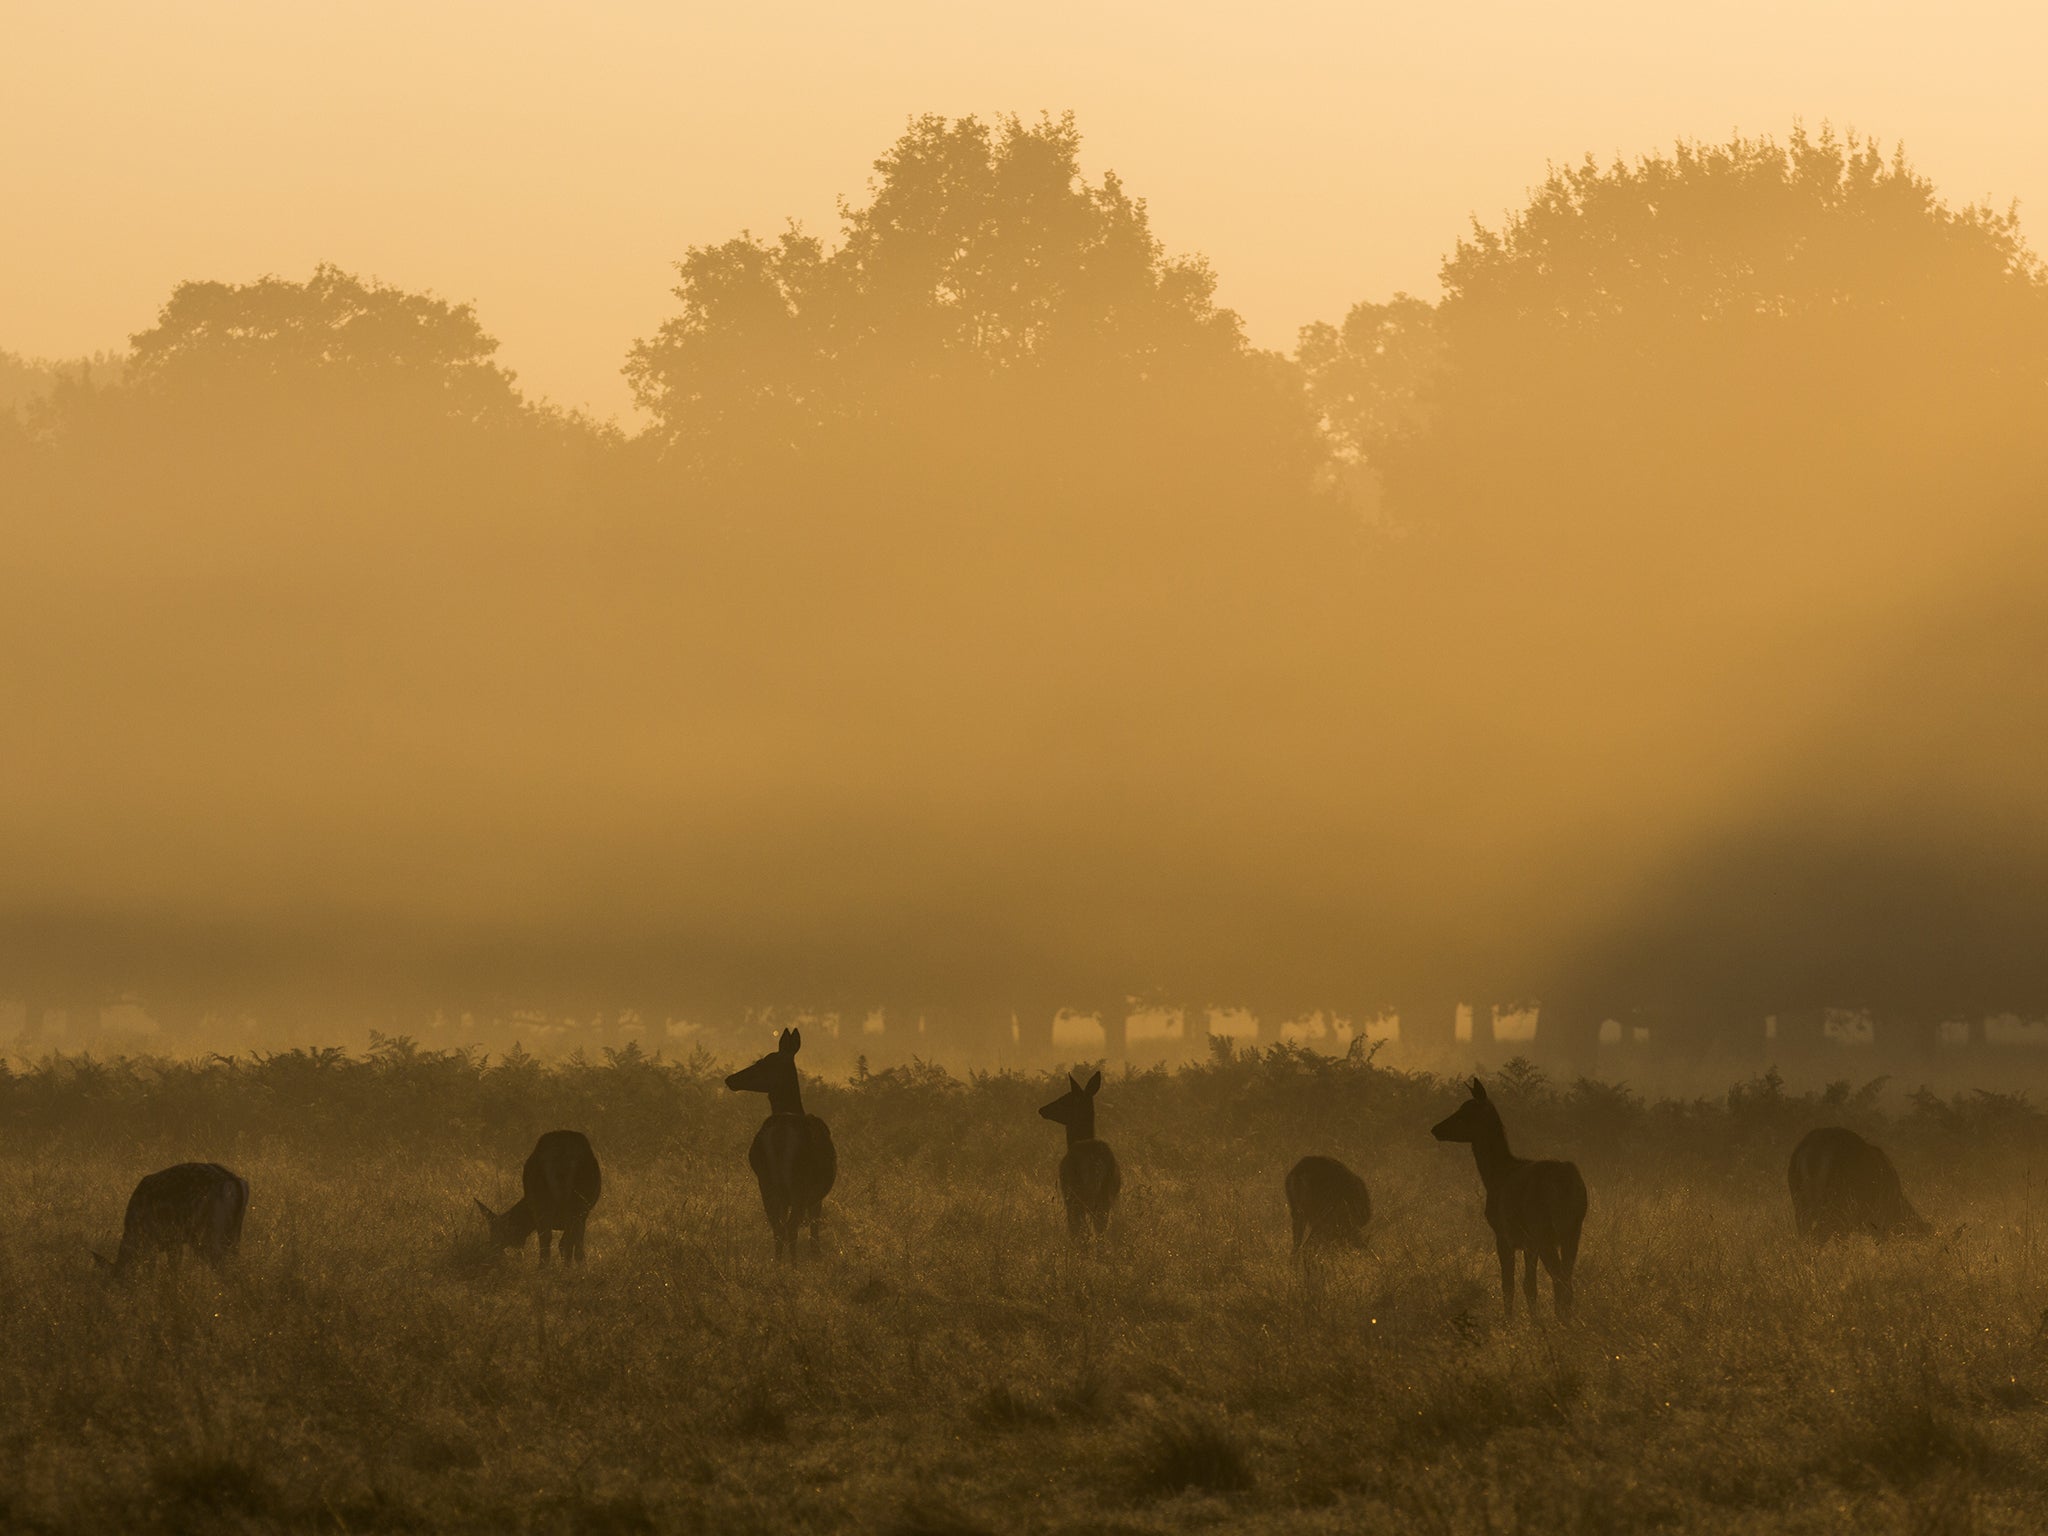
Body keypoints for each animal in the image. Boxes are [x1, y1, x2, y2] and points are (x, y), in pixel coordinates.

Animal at [95, 1162, 249, 1277]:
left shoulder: (154, 1241)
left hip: (207, 1235)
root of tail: (235, 1181)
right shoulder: (173, 1242)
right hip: (234, 1235)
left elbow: (152, 1272)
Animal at [475, 1130, 602, 1263]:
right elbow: (569, 1244)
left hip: (548, 1202)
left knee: (551, 1243)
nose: (491, 1251)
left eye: (495, 1231)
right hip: (576, 1205)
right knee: (563, 1243)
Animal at [725, 1027, 836, 1261]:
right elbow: (814, 1233)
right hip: (798, 1183)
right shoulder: (816, 1197)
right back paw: (793, 1266)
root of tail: (779, 1136)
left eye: (762, 1062)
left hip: (766, 1182)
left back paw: (777, 1264)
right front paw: (816, 1258)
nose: (730, 1079)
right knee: (791, 1227)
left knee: (777, 1228)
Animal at [1039, 1069, 1120, 1242]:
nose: (1042, 1109)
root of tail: (1094, 1163)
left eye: (1065, 1099)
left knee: (1082, 1231)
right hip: (1104, 1196)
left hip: (1077, 1194)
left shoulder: (1068, 1198)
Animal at [1431, 1077, 1586, 1321]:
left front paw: (1509, 1322)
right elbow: (1529, 1285)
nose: (1436, 1129)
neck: (1494, 1175)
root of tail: (1567, 1182)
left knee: (1560, 1280)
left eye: (1464, 1112)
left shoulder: (1503, 1234)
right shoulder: (1528, 1243)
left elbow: (1508, 1285)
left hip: (1543, 1228)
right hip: (1572, 1229)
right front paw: (1533, 1322)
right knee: (1566, 1280)